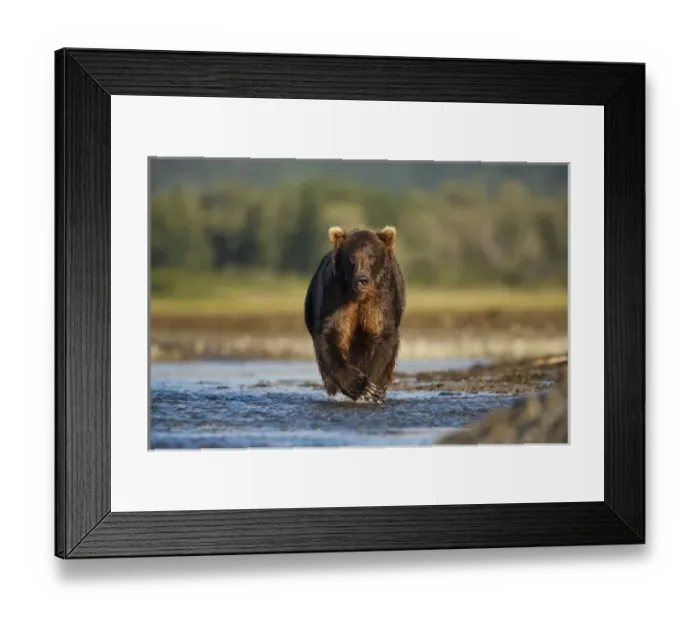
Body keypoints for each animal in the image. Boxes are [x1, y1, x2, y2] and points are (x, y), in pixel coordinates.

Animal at [304, 225, 406, 404]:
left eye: (372, 256)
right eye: (352, 257)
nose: (362, 279)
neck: (359, 296)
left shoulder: (381, 300)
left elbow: (385, 338)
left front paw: (372, 388)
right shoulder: (335, 298)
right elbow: (329, 335)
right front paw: (359, 385)